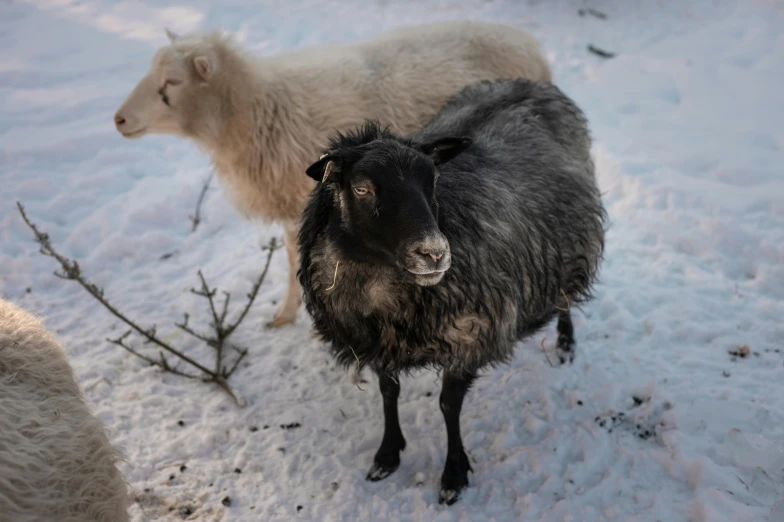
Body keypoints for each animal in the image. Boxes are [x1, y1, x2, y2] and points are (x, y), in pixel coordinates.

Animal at [298, 78, 608, 504]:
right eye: (361, 188)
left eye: (433, 181)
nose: (434, 253)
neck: (378, 282)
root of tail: (530, 82)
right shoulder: (377, 341)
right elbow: (388, 391)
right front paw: (387, 454)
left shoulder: (470, 334)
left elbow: (448, 405)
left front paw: (454, 474)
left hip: (564, 250)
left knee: (564, 297)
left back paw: (565, 343)